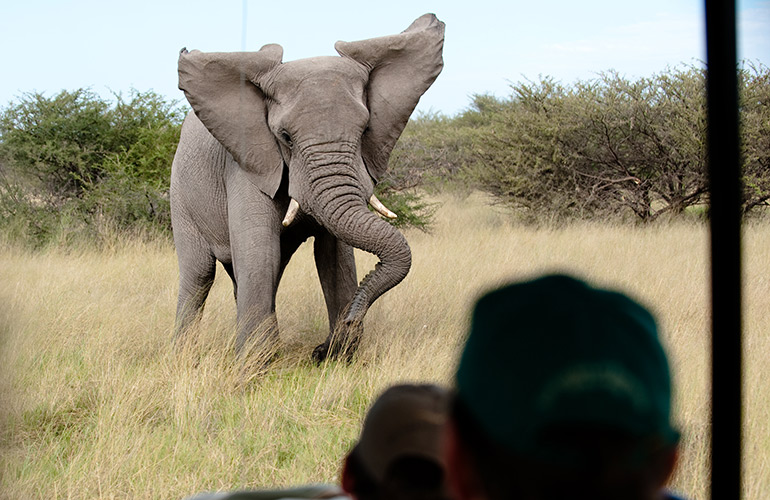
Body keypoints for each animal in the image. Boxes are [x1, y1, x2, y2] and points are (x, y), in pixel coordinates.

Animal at [170, 14, 445, 361]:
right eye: (285, 137)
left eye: (364, 130)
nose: (318, 349)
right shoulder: (250, 163)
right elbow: (260, 253)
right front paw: (252, 367)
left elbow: (334, 257)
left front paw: (337, 355)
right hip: (180, 194)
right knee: (200, 273)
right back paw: (184, 357)